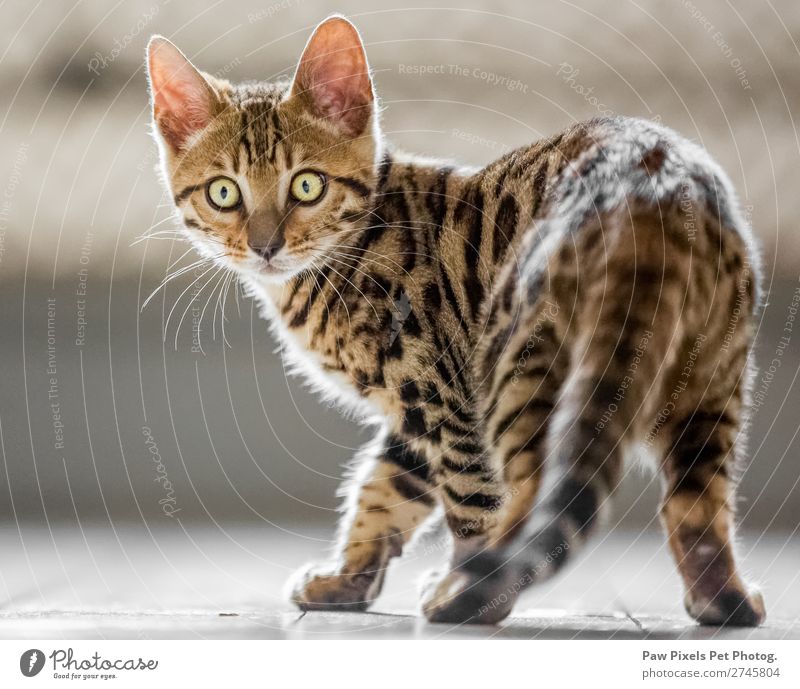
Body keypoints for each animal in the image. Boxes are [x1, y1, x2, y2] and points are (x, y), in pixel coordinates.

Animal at [147, 13, 764, 628]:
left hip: (514, 361)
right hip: (713, 375)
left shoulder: (441, 390)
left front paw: (469, 585)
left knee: (530, 488)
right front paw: (347, 577)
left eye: (306, 184)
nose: (265, 246)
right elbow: (384, 489)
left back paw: (473, 591)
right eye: (223, 193)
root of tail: (647, 180)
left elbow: (469, 499)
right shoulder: (417, 408)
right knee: (696, 500)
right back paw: (724, 601)